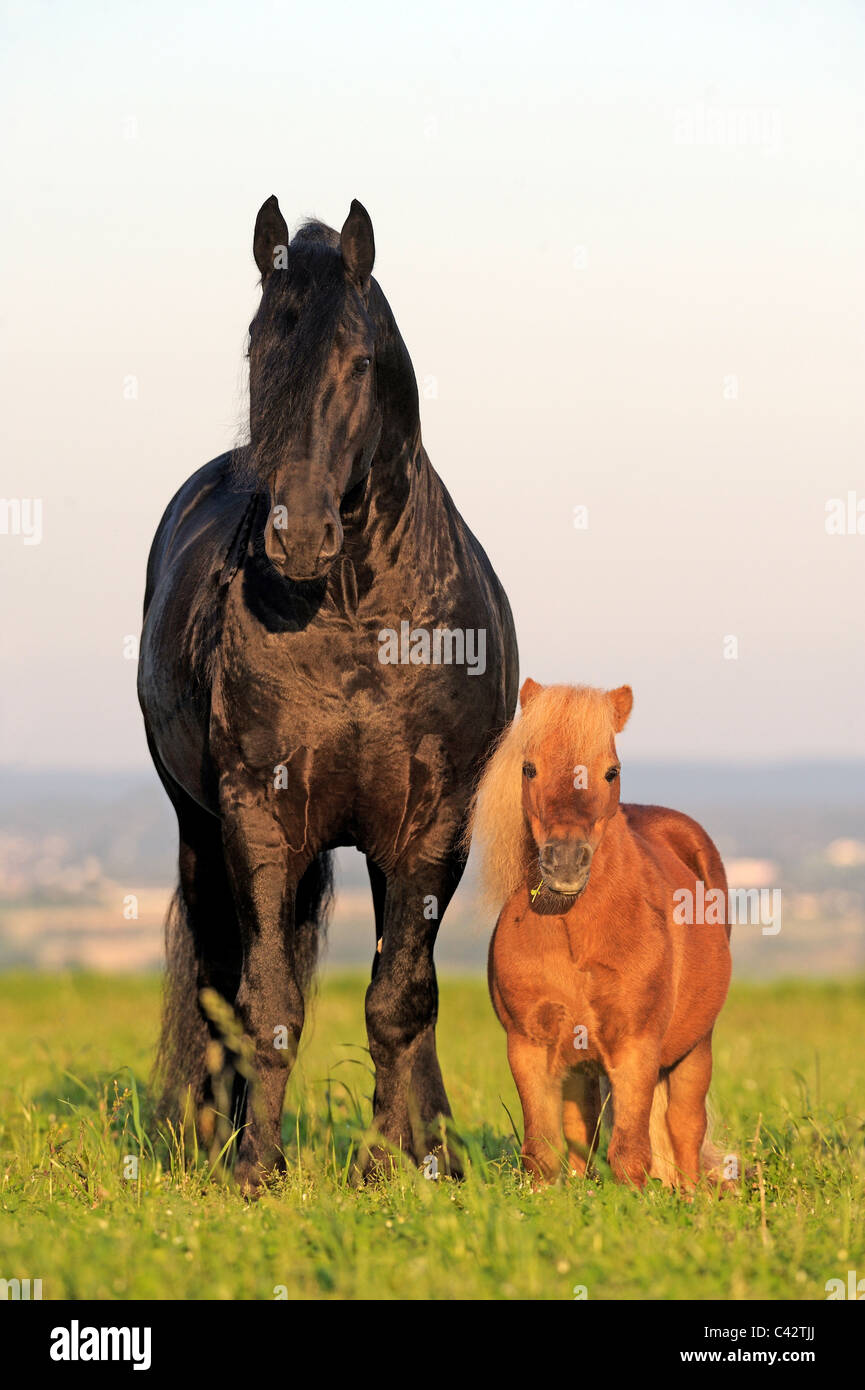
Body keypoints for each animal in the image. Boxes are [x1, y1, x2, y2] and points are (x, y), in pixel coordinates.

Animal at [137, 196, 518, 1190]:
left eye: (356, 361)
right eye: (257, 350)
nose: (297, 534)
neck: (355, 617)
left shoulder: (431, 824)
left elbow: (401, 1000)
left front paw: (390, 1166)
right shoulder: (258, 818)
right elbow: (265, 997)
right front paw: (255, 1167)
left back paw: (435, 1149)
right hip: (200, 833)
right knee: (217, 977)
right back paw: (213, 1134)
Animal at [470, 679, 732, 1189]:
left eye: (611, 772)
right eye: (529, 768)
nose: (566, 861)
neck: (576, 934)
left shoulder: (635, 1049)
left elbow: (630, 1154)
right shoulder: (530, 1049)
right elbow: (544, 1153)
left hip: (696, 1048)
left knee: (685, 1130)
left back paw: (690, 1196)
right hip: (581, 1069)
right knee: (582, 1133)